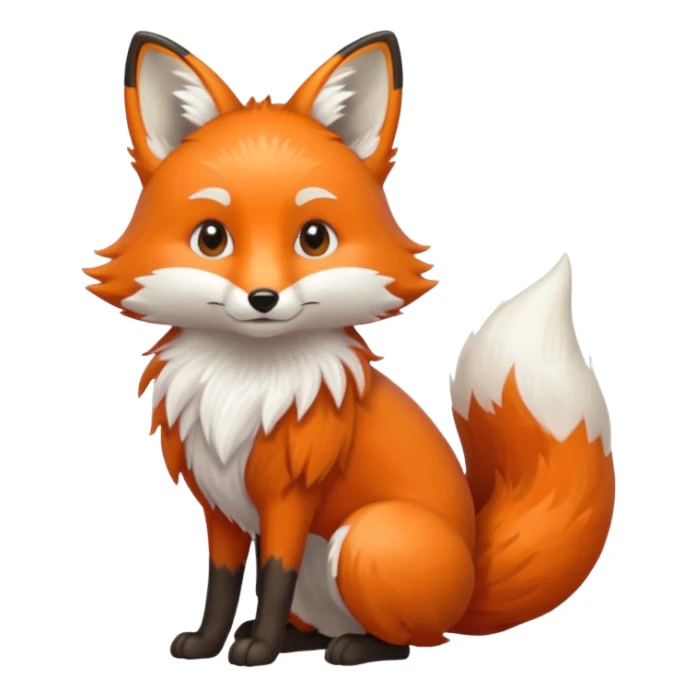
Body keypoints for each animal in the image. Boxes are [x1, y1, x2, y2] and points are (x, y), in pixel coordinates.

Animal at [86, 30, 615, 667]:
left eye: (314, 238)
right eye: (211, 238)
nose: (263, 298)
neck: (244, 388)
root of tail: (471, 577)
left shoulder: (290, 499)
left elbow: (273, 575)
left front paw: (258, 650)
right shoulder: (219, 505)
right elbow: (224, 583)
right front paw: (209, 643)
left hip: (366, 538)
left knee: (408, 643)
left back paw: (350, 647)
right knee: (325, 626)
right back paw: (297, 640)